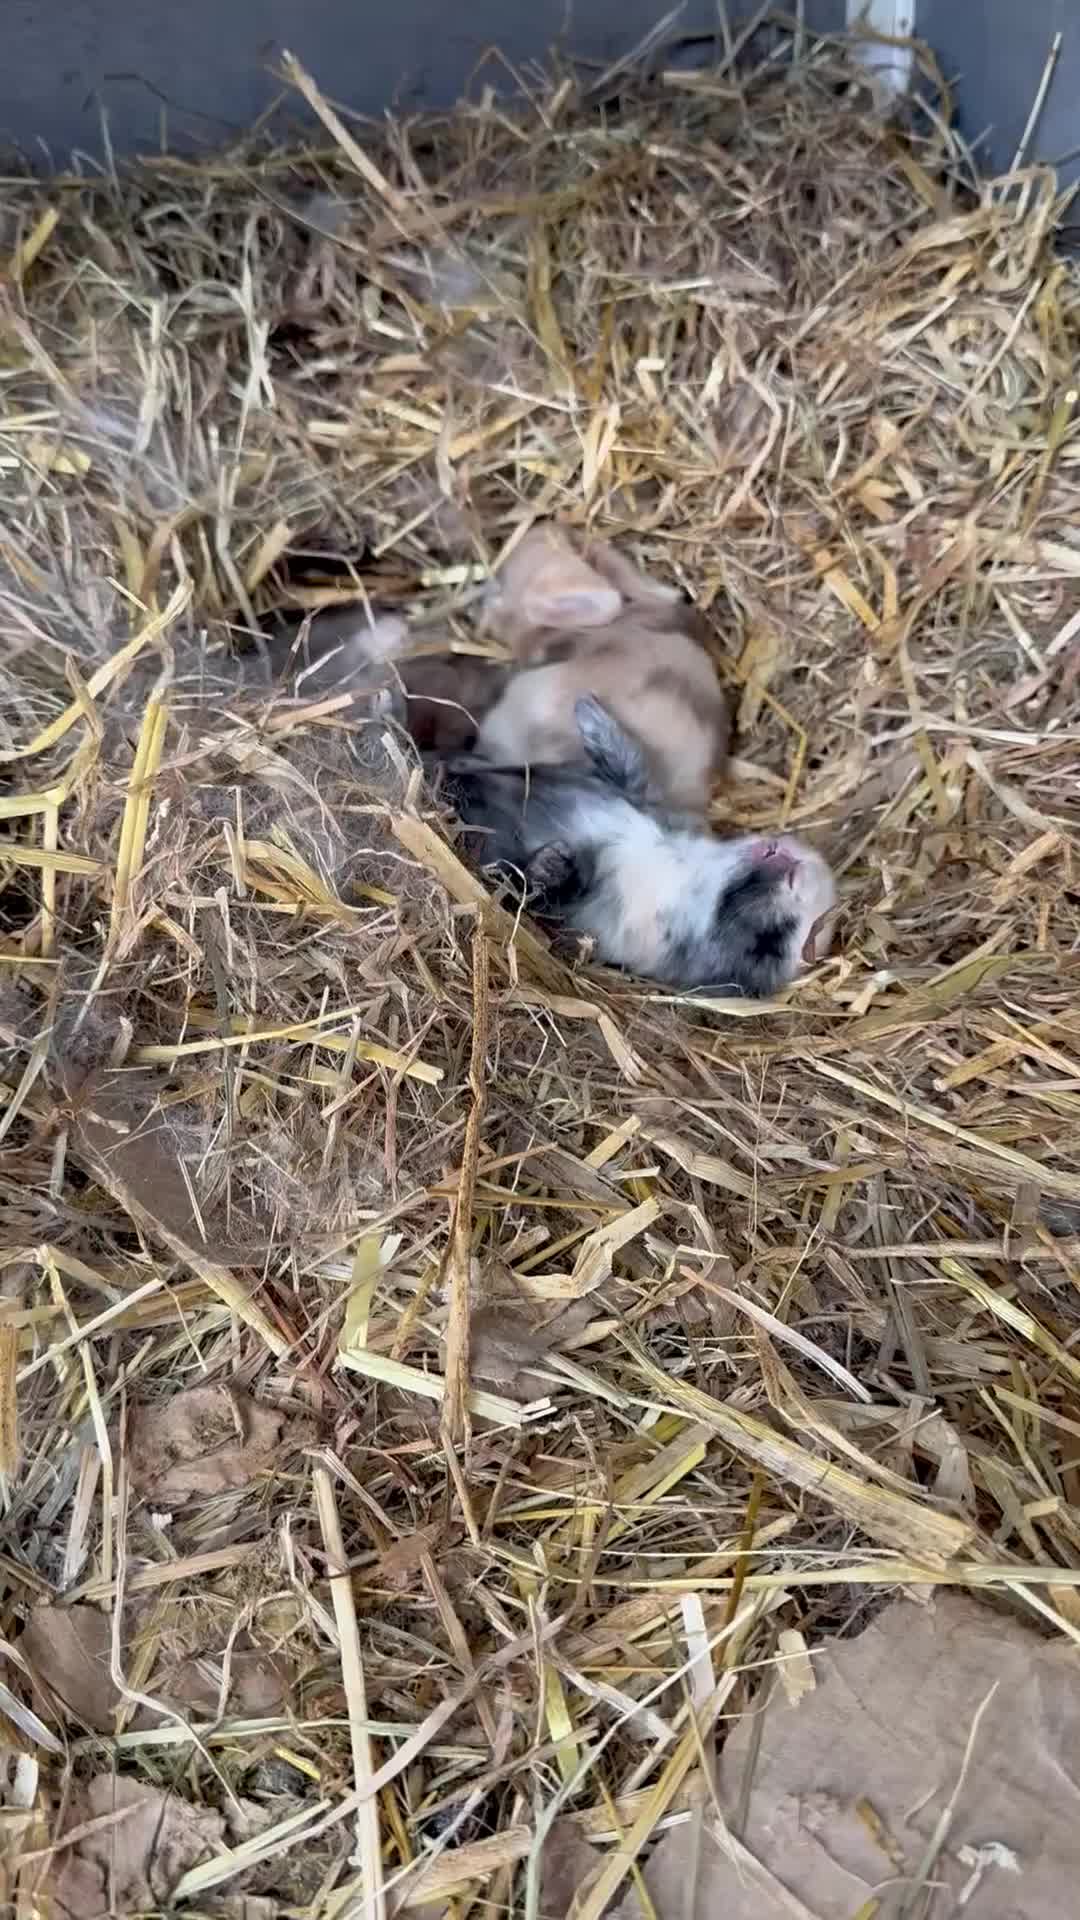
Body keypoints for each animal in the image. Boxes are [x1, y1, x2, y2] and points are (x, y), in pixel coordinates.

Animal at [434, 695, 835, 995]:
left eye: (773, 940)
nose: (786, 857)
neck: (687, 871)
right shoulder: (644, 798)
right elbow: (629, 763)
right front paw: (590, 713)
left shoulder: (582, 917)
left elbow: (544, 890)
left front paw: (553, 862)